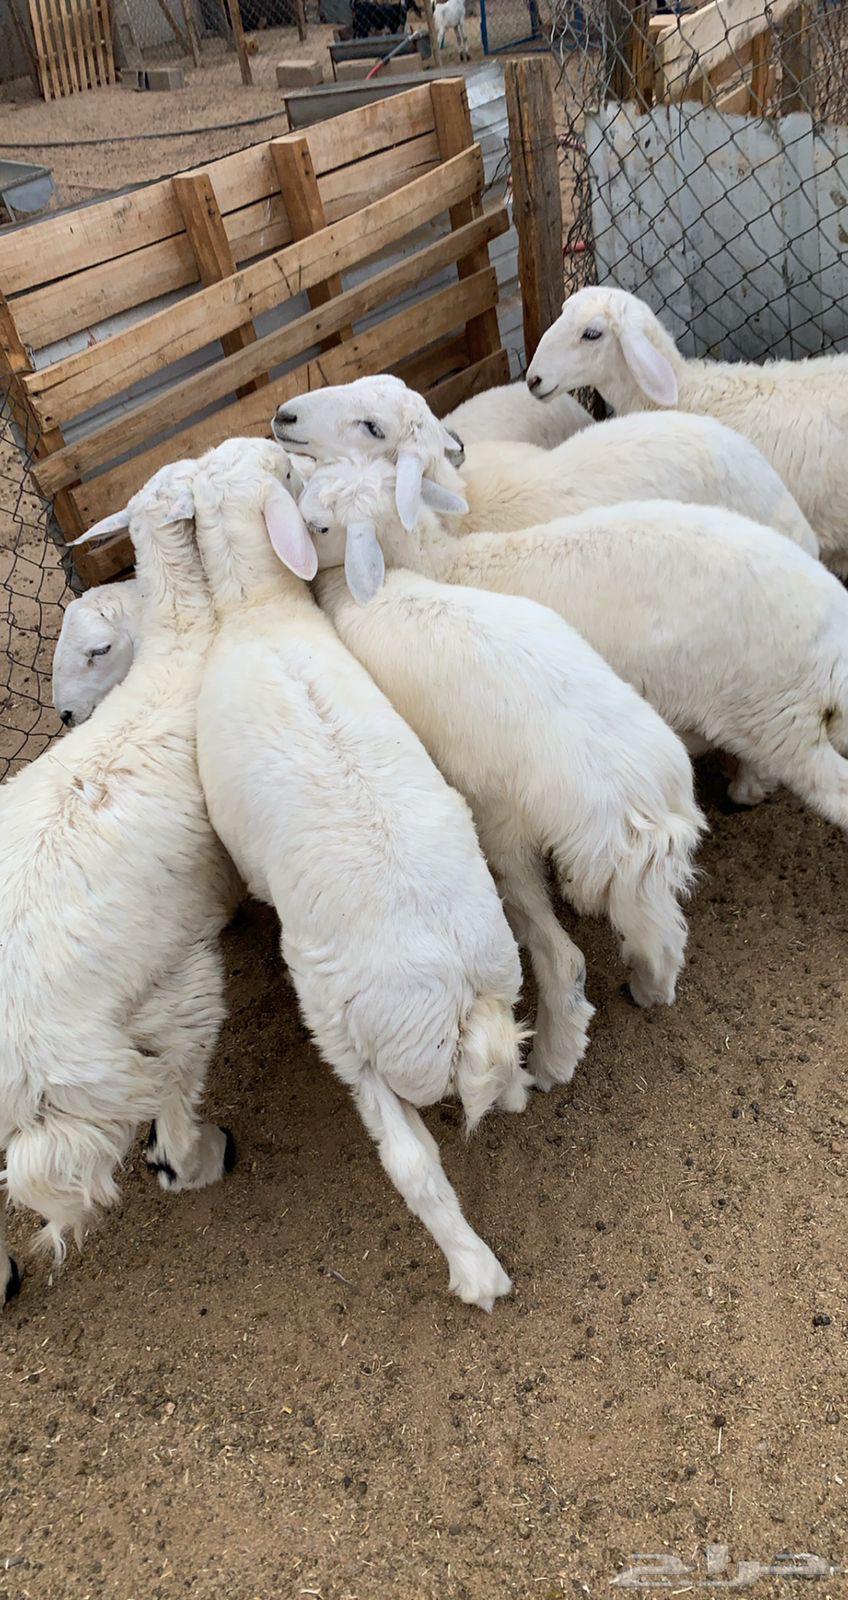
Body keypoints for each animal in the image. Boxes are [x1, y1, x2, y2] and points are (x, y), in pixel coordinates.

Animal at [178, 436, 529, 1310]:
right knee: (512, 1056)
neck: (256, 612)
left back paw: (475, 1270)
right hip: (497, 971)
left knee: (413, 1164)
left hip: (348, 1034)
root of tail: (458, 987)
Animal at [292, 452, 848, 837]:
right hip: (764, 714)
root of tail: (833, 638)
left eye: (320, 526)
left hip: (775, 715)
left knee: (833, 787)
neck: (447, 564)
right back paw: (746, 788)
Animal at [298, 455, 704, 1076]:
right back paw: (650, 988)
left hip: (504, 831)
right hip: (643, 860)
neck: (387, 584)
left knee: (565, 959)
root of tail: (633, 804)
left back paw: (552, 1060)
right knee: (661, 930)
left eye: (320, 526)